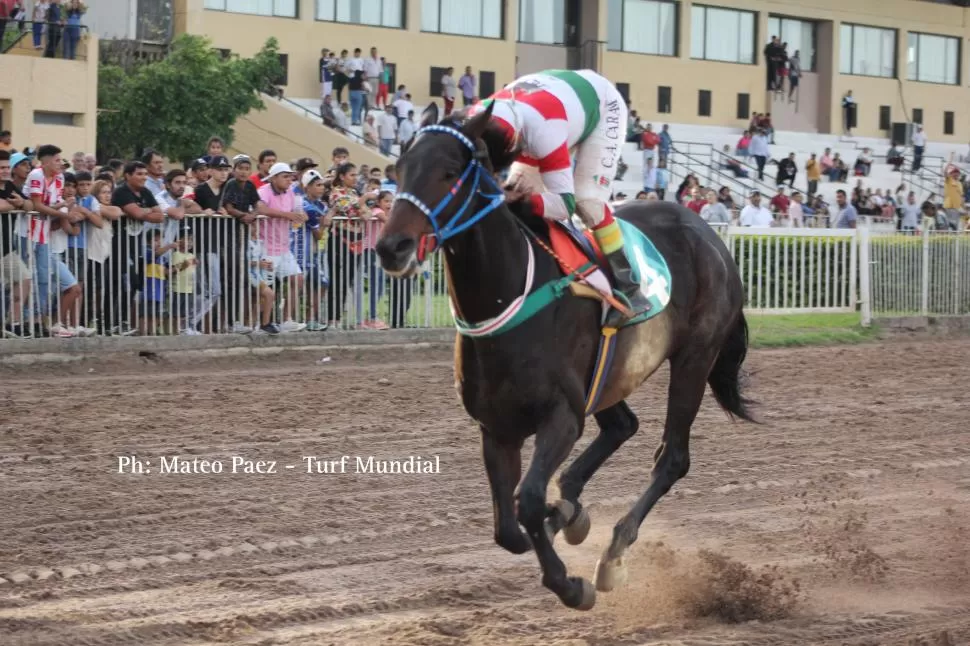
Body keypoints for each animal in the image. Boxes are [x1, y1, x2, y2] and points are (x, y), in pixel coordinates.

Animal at [374, 102, 752, 612]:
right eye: (398, 169)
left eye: (449, 171)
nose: (391, 247)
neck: (508, 293)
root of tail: (707, 231)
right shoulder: (497, 428)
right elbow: (507, 529)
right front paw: (564, 520)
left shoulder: (562, 417)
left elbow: (530, 500)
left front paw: (571, 583)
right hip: (610, 374)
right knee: (622, 426)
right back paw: (573, 508)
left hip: (696, 356)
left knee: (672, 457)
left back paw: (611, 556)